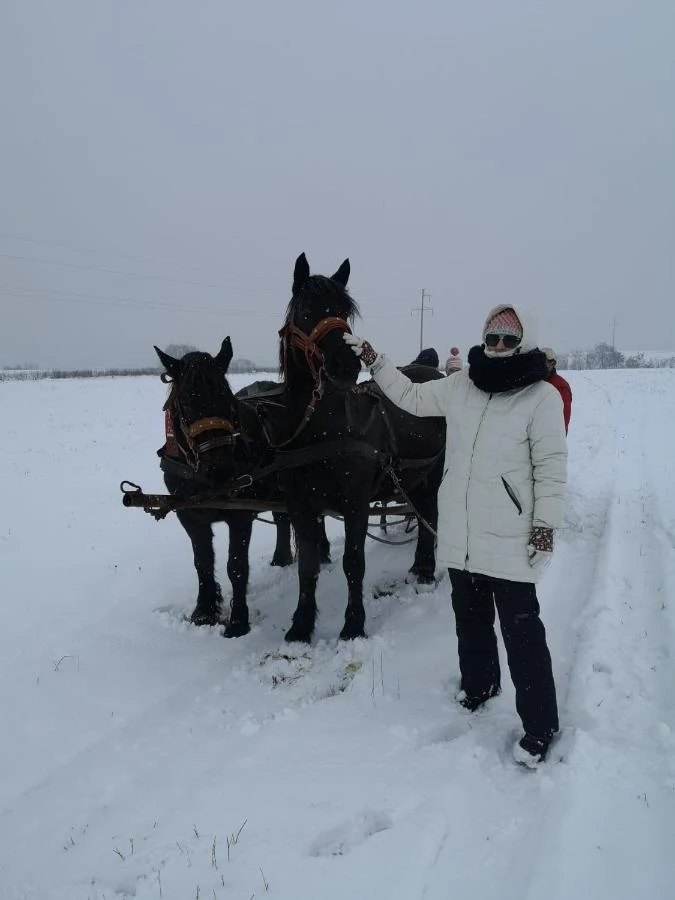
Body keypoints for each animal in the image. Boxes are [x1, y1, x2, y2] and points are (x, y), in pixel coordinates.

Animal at [156, 338, 330, 640]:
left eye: (227, 398)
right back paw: (281, 557)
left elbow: (236, 566)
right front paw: (204, 611)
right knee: (282, 518)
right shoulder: (190, 516)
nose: (221, 469)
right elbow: (202, 562)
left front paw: (238, 621)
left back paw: (322, 552)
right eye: (186, 401)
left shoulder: (239, 513)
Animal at [278, 255, 446, 648]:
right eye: (306, 309)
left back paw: (425, 571)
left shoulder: (355, 502)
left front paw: (353, 625)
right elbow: (308, 565)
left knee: (430, 513)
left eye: (345, 312)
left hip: (433, 473)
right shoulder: (300, 505)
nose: (347, 365)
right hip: (414, 478)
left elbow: (353, 563)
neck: (322, 427)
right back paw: (419, 567)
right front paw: (300, 626)